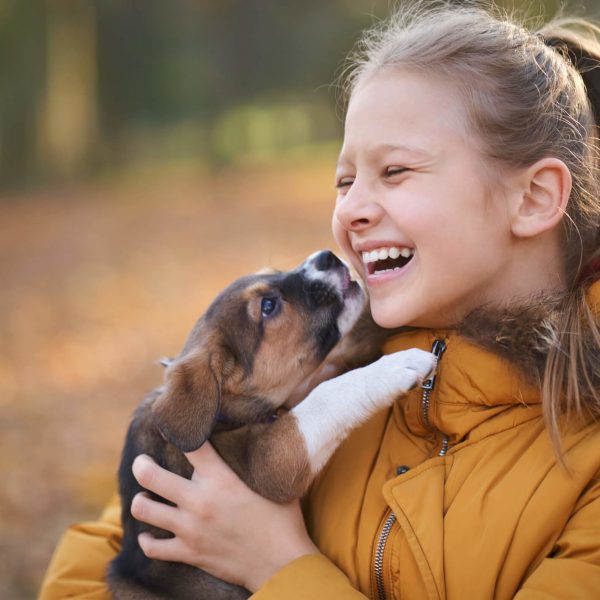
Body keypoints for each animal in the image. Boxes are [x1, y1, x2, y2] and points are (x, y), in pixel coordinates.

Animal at [109, 250, 436, 600]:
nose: (327, 256)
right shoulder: (266, 462)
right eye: (268, 306)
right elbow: (328, 394)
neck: (224, 414)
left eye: (274, 271)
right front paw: (396, 365)